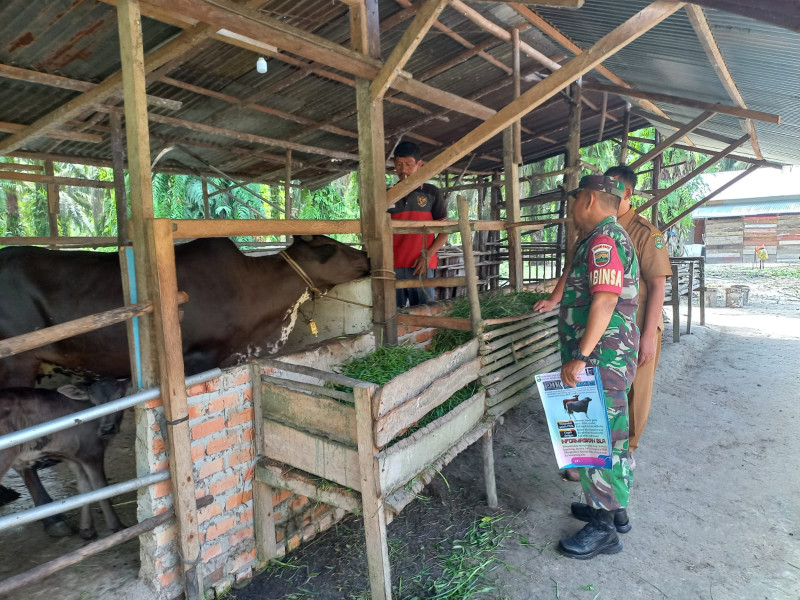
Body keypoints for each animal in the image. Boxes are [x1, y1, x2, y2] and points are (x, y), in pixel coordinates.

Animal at [0, 380, 127, 540]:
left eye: (120, 396)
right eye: (94, 402)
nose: (107, 429)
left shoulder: (76, 458)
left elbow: (85, 489)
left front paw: (87, 530)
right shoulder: (92, 452)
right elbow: (101, 487)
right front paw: (117, 526)